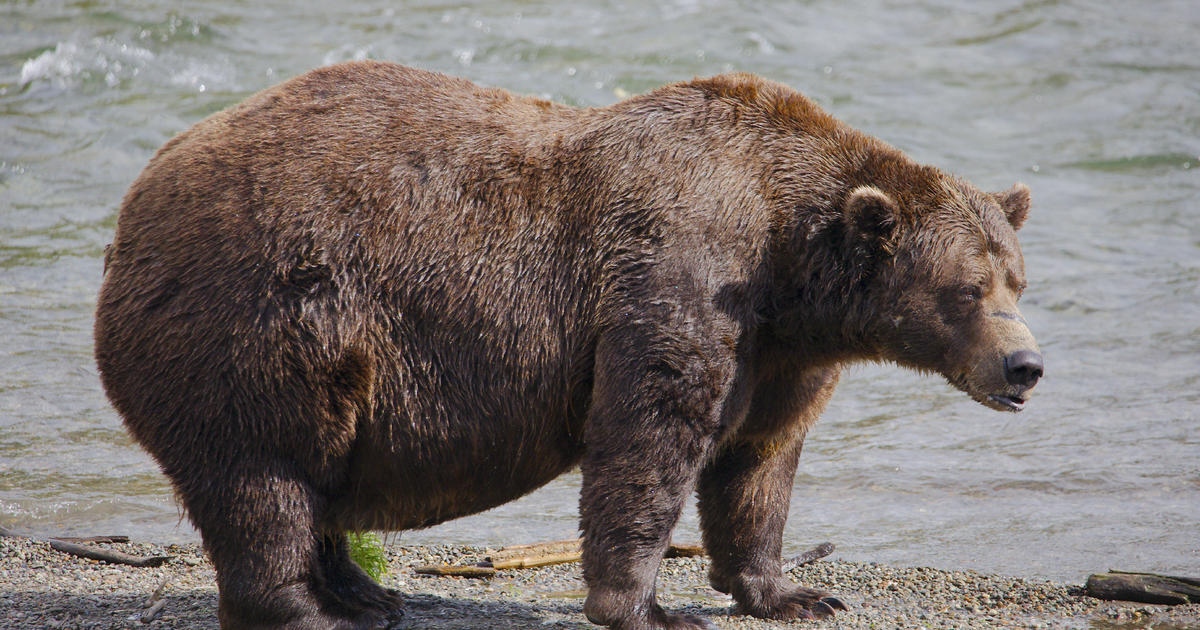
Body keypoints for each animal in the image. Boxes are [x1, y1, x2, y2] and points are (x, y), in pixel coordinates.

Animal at [96, 62, 1041, 628]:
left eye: (1017, 279)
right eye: (968, 289)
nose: (1025, 365)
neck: (786, 261)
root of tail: (132, 207)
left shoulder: (781, 353)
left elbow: (759, 463)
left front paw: (794, 591)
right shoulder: (679, 276)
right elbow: (649, 439)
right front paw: (647, 606)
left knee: (316, 476)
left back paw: (367, 590)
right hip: (261, 319)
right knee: (265, 477)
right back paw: (312, 606)